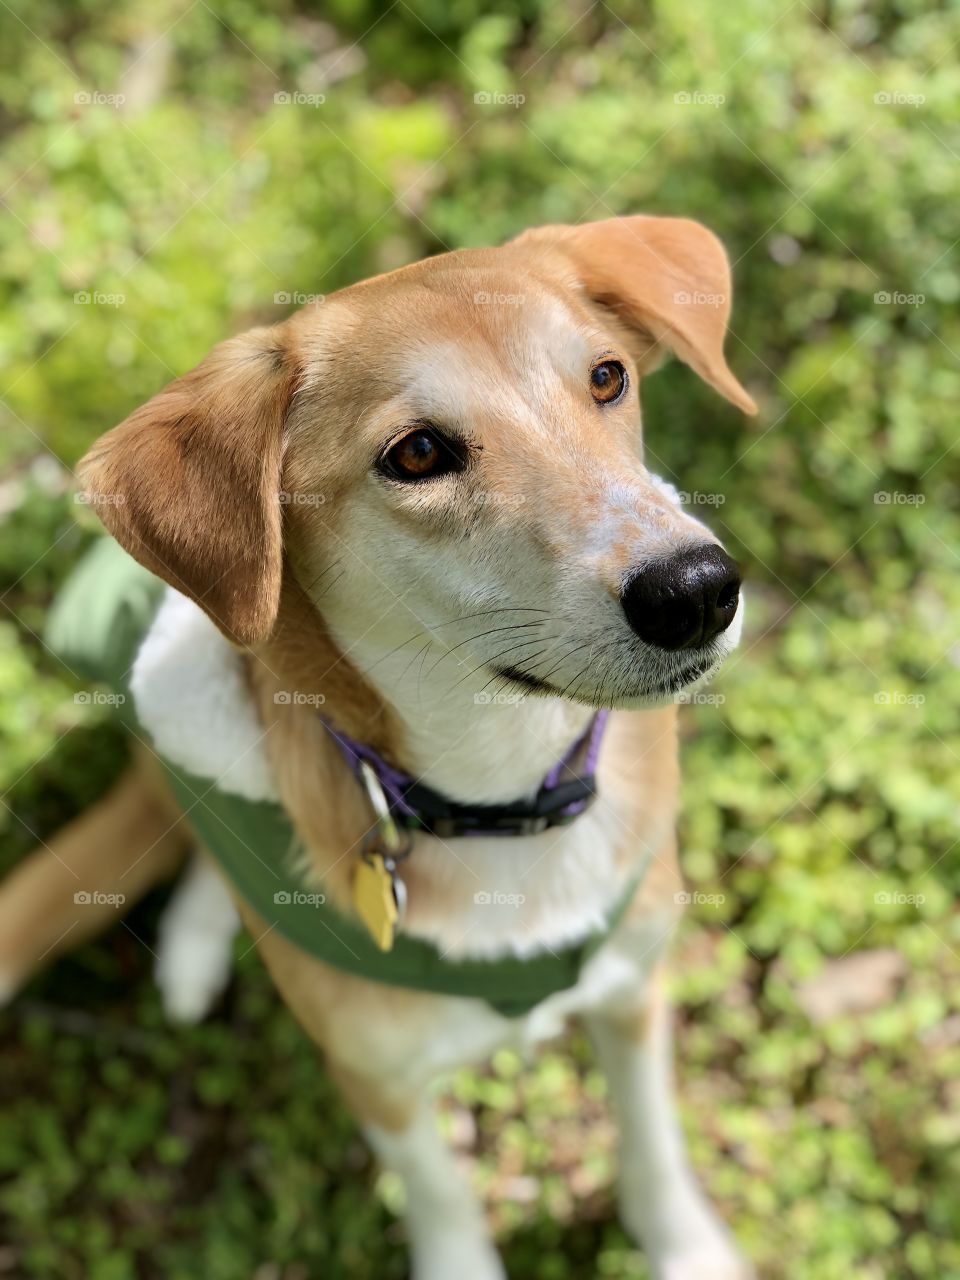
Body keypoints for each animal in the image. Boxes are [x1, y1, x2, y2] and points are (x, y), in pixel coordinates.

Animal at [0, 220, 757, 1280]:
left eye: (607, 377)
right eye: (419, 452)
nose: (695, 589)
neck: (500, 801)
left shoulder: (631, 988)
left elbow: (651, 1139)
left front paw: (684, 1247)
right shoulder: (377, 1077)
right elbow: (441, 1196)